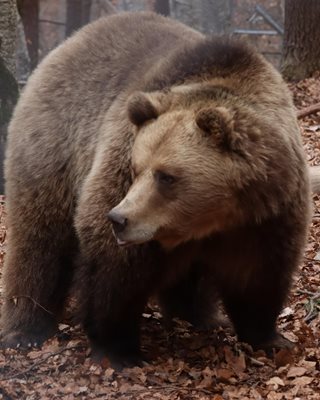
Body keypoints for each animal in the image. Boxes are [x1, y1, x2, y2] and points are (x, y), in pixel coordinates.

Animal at [0, 11, 314, 368]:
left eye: (167, 176)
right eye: (137, 168)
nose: (119, 218)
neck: (217, 217)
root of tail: (70, 42)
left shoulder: (267, 213)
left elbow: (258, 275)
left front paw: (271, 338)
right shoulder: (120, 173)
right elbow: (114, 268)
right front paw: (120, 348)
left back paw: (201, 316)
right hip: (54, 148)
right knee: (40, 240)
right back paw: (25, 330)